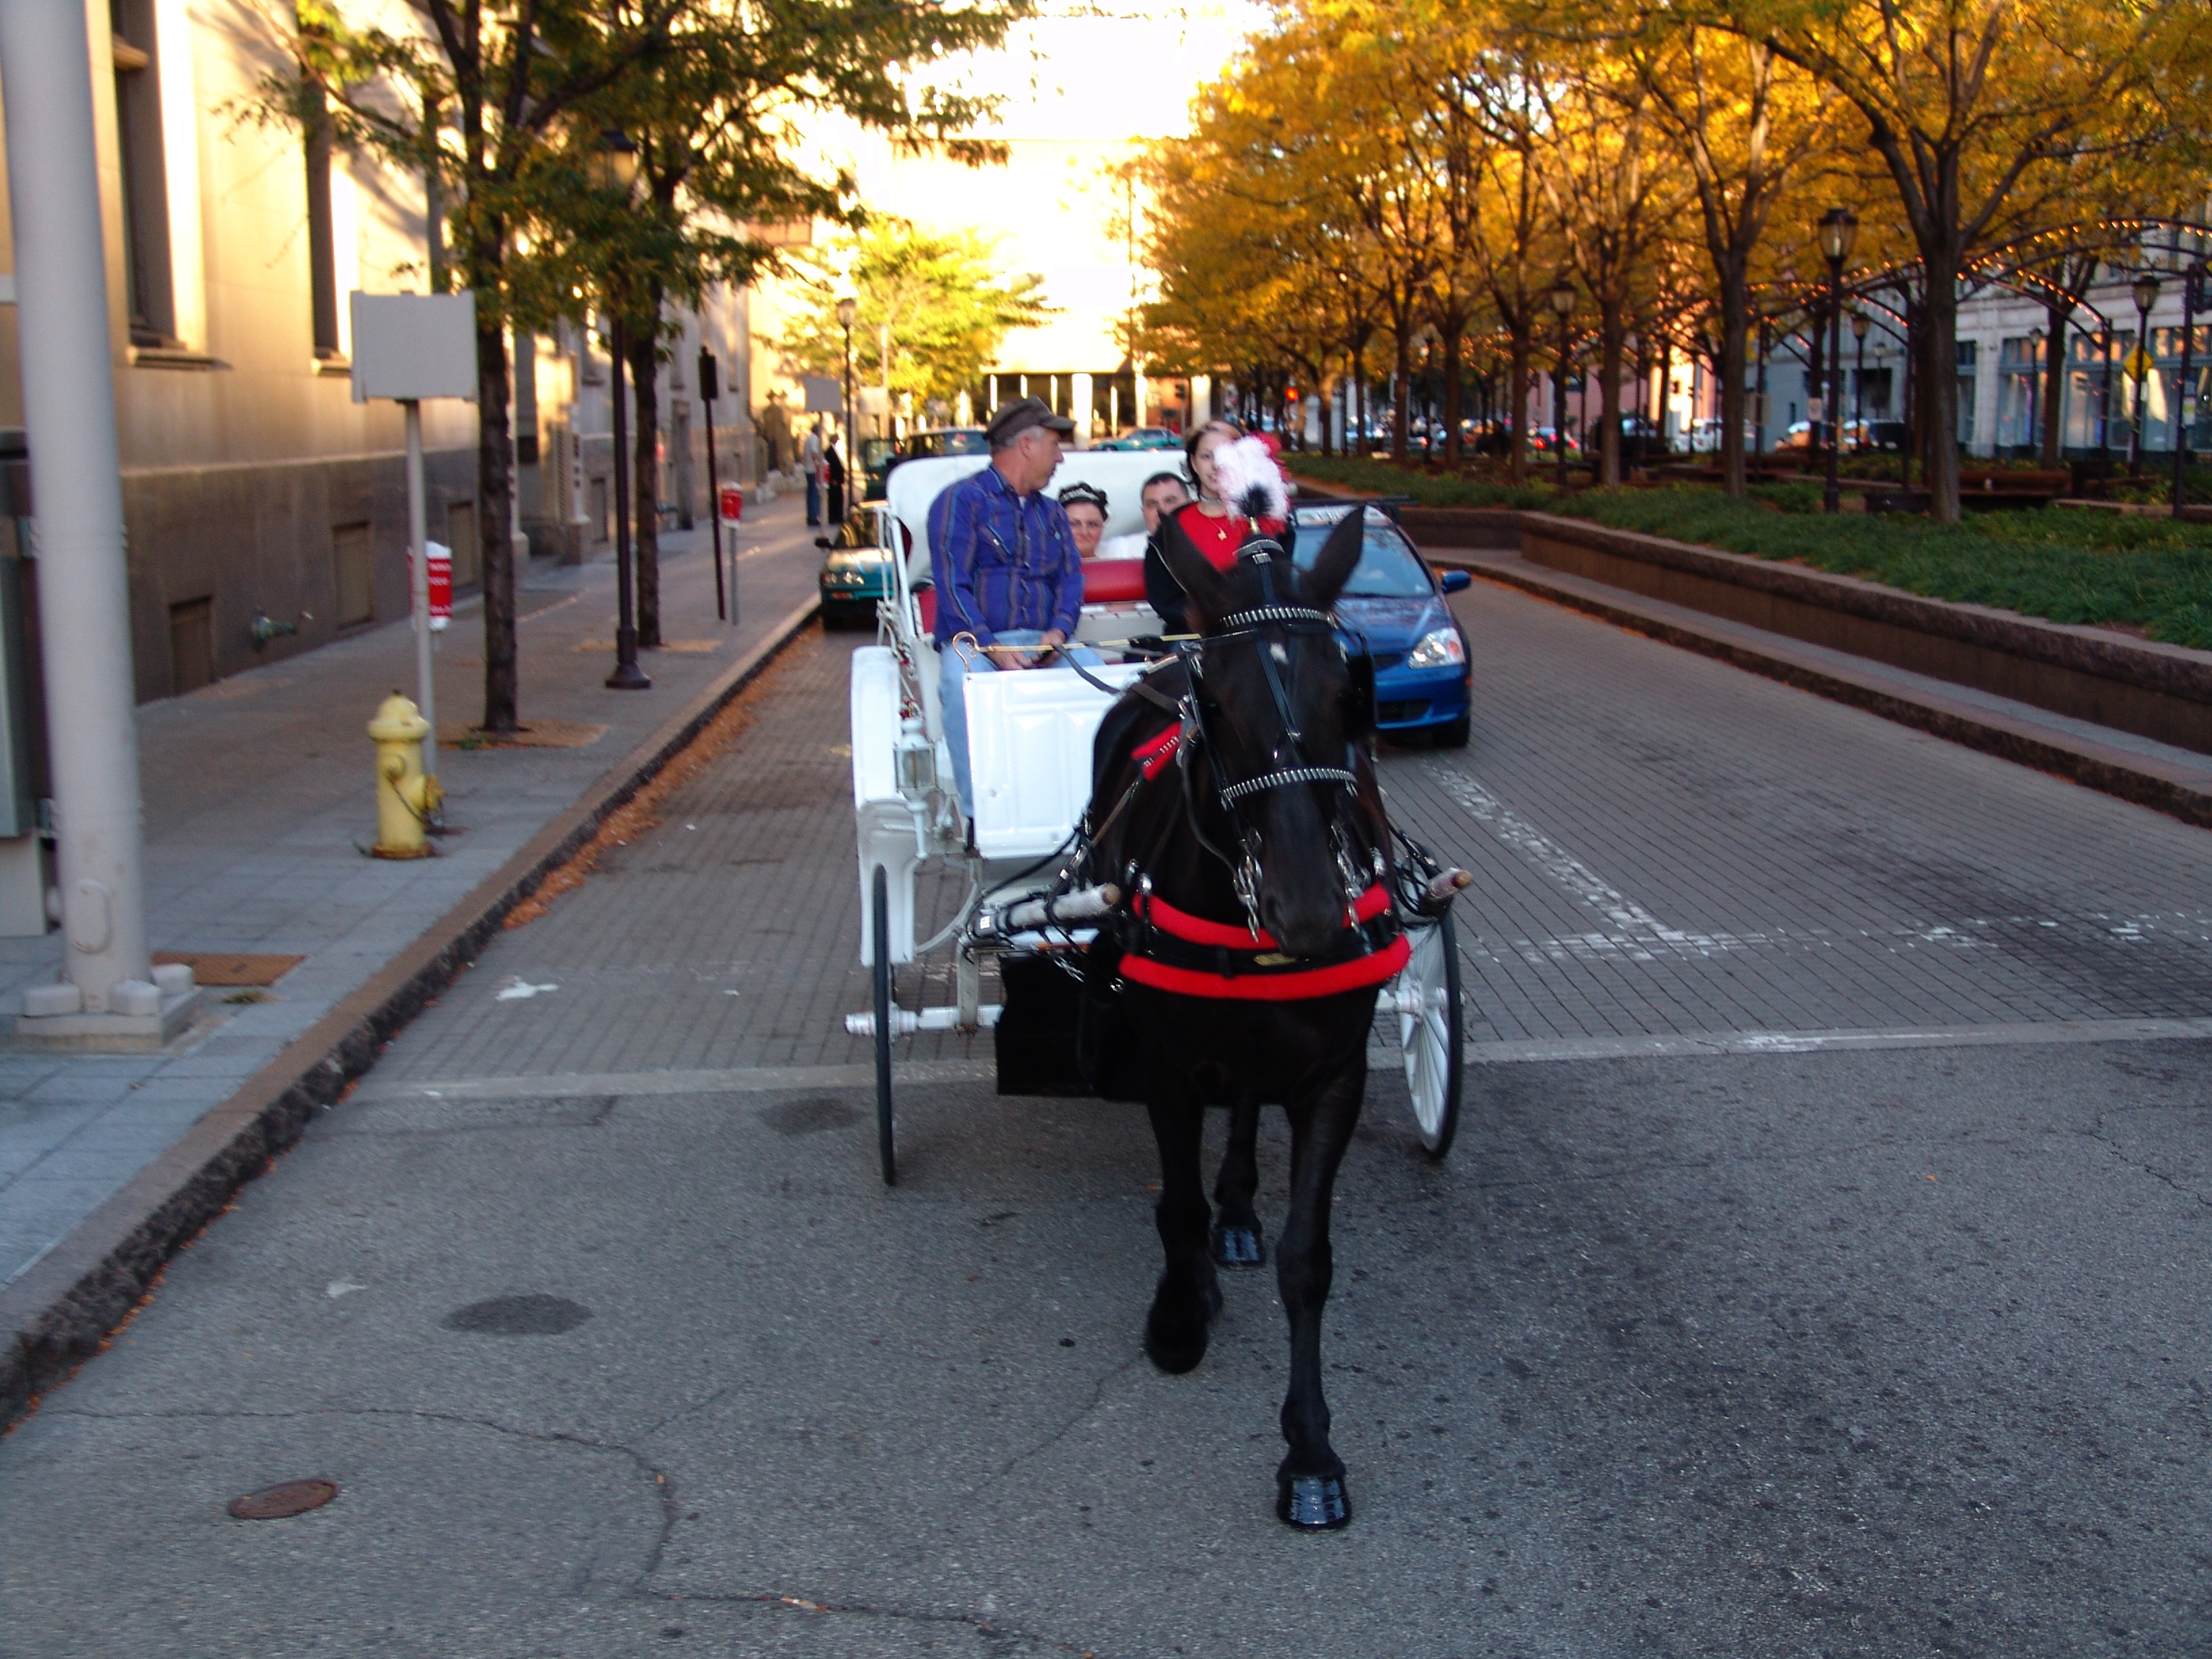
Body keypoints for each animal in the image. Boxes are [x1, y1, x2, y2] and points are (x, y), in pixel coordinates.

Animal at [1084, 510, 1406, 1530]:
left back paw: (1238, 1211)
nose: (1307, 908)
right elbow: (1174, 1204)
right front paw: (1180, 1314)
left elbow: (1309, 1259)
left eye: (1349, 691)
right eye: (1217, 703)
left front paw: (1310, 1454)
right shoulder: (1166, 1064)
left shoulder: (1335, 1075)